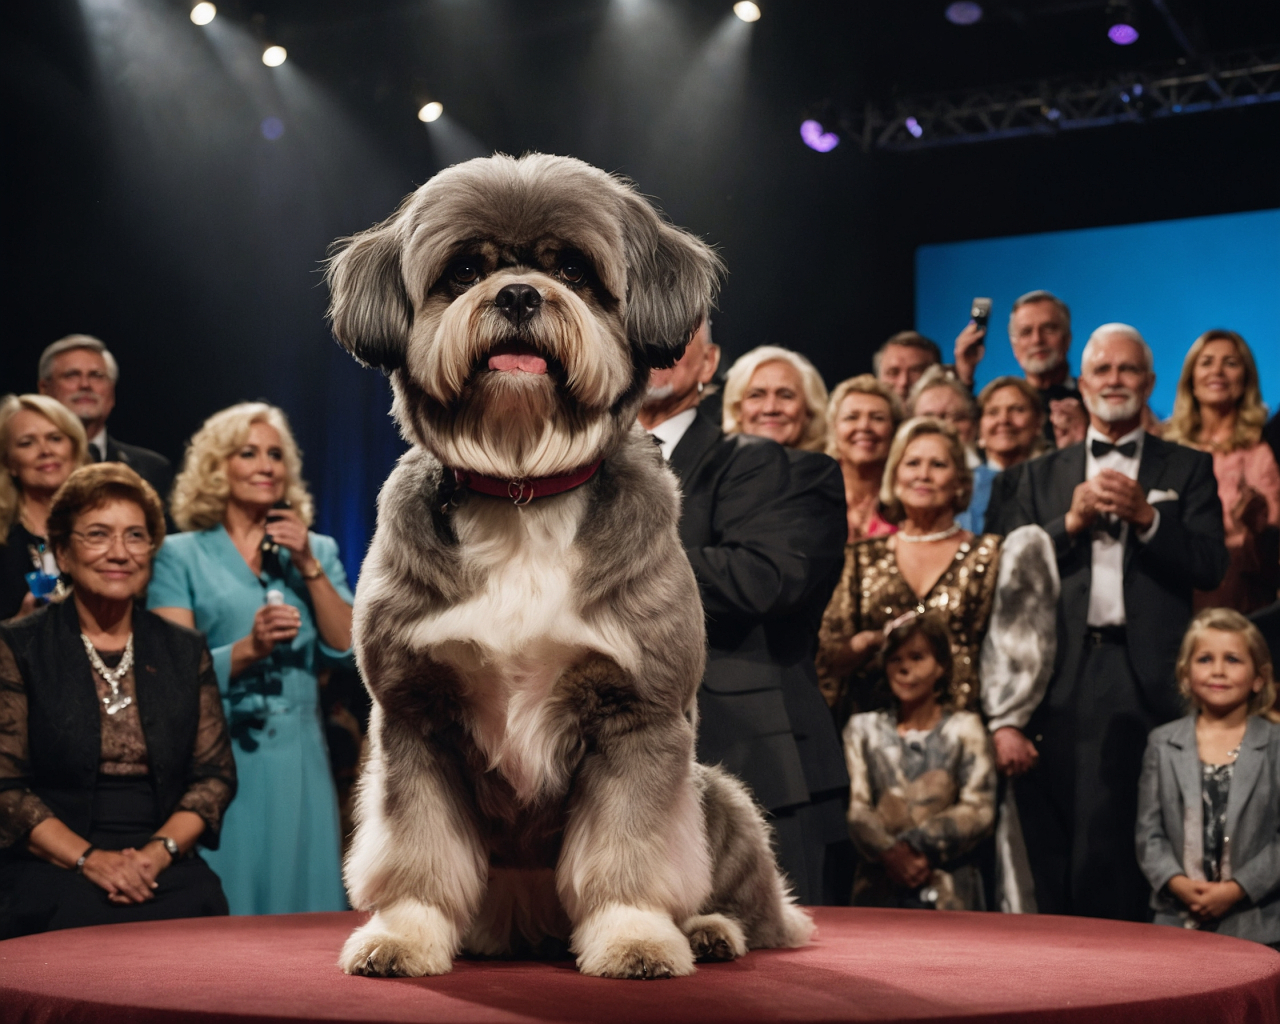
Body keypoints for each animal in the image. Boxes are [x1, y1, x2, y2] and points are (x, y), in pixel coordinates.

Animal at [327, 154, 808, 983]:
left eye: (575, 271)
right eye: (464, 270)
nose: (519, 294)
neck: (523, 488)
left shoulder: (636, 717)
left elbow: (630, 851)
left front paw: (636, 936)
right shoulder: (417, 717)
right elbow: (418, 851)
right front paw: (406, 933)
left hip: (720, 796)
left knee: (759, 908)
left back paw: (710, 929)